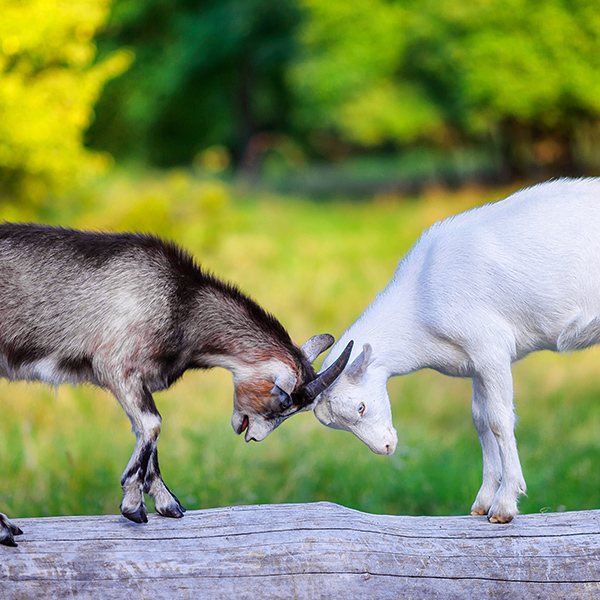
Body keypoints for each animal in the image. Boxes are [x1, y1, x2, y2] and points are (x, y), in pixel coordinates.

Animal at [0, 223, 352, 548]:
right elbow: (153, 424)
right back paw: (5, 528)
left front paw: (166, 504)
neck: (182, 303)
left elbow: (147, 436)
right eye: (283, 401)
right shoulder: (117, 366)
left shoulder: (138, 381)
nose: (253, 437)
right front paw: (132, 504)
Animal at [314, 176, 600, 524]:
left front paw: (504, 504)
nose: (385, 448)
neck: (419, 303)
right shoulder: (473, 362)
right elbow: (480, 419)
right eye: (336, 424)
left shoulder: (491, 348)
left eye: (360, 407)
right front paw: (483, 501)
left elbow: (499, 420)